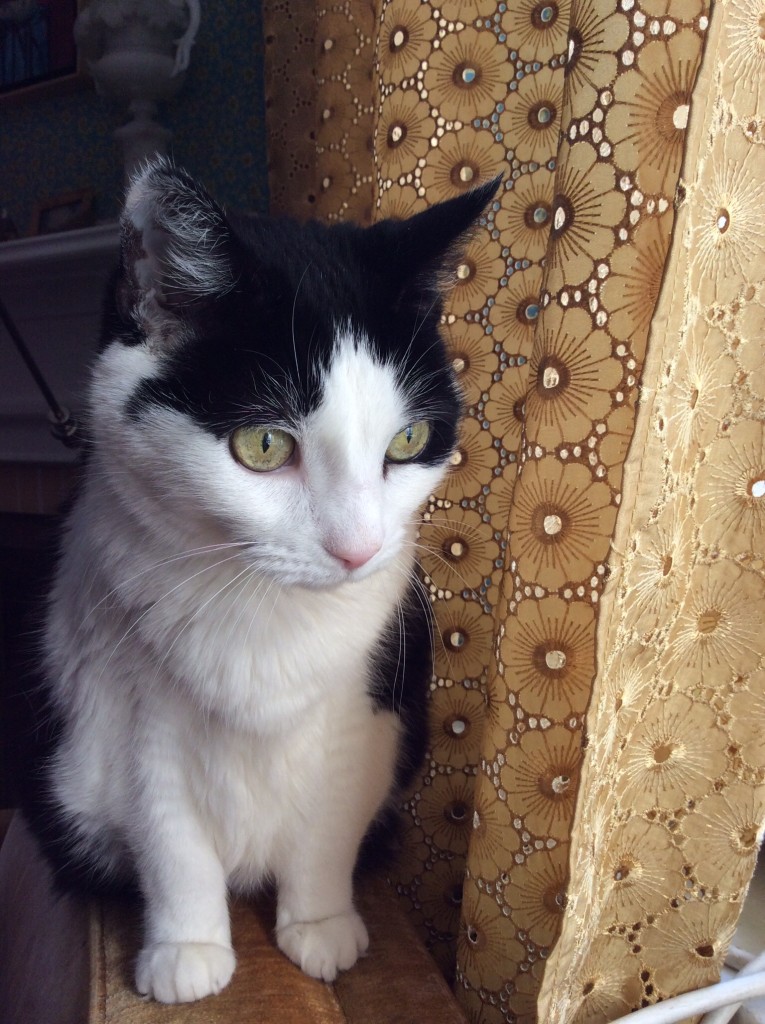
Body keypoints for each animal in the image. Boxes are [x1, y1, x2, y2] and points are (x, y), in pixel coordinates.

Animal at [26, 163, 497, 1003]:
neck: (259, 604)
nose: (357, 549)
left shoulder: (360, 715)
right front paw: (186, 950)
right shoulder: (134, 717)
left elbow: (327, 833)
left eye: (407, 440)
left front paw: (319, 926)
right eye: (264, 445)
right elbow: (171, 840)